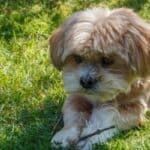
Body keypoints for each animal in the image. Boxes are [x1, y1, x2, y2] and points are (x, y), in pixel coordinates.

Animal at [49, 7, 149, 150]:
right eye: (77, 58)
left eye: (107, 60)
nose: (85, 81)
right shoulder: (76, 96)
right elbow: (73, 112)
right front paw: (65, 135)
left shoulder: (135, 106)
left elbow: (108, 113)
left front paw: (90, 137)